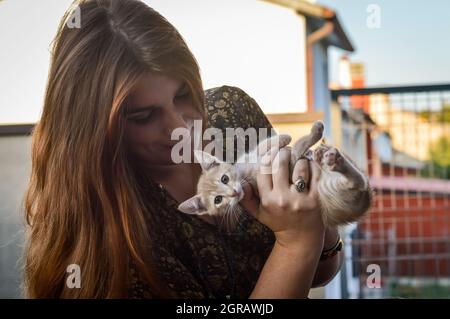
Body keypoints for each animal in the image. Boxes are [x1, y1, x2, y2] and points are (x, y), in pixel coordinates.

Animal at [179, 121, 372, 229]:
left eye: (224, 179)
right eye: (218, 200)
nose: (234, 193)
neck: (245, 174)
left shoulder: (251, 155)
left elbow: (265, 145)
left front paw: (284, 137)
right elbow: (296, 150)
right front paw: (312, 135)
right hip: (334, 188)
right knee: (357, 182)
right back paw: (332, 160)